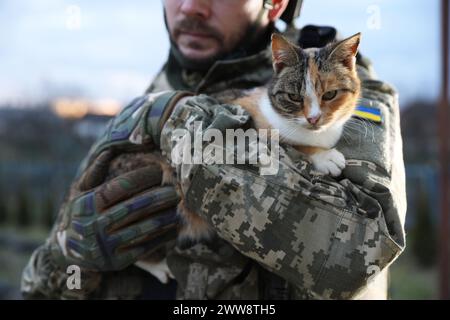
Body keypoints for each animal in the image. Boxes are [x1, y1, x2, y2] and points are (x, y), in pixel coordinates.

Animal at [135, 32, 360, 282]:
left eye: (330, 94)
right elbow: (289, 143)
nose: (313, 118)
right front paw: (324, 156)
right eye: (293, 96)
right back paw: (158, 266)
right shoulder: (237, 119)